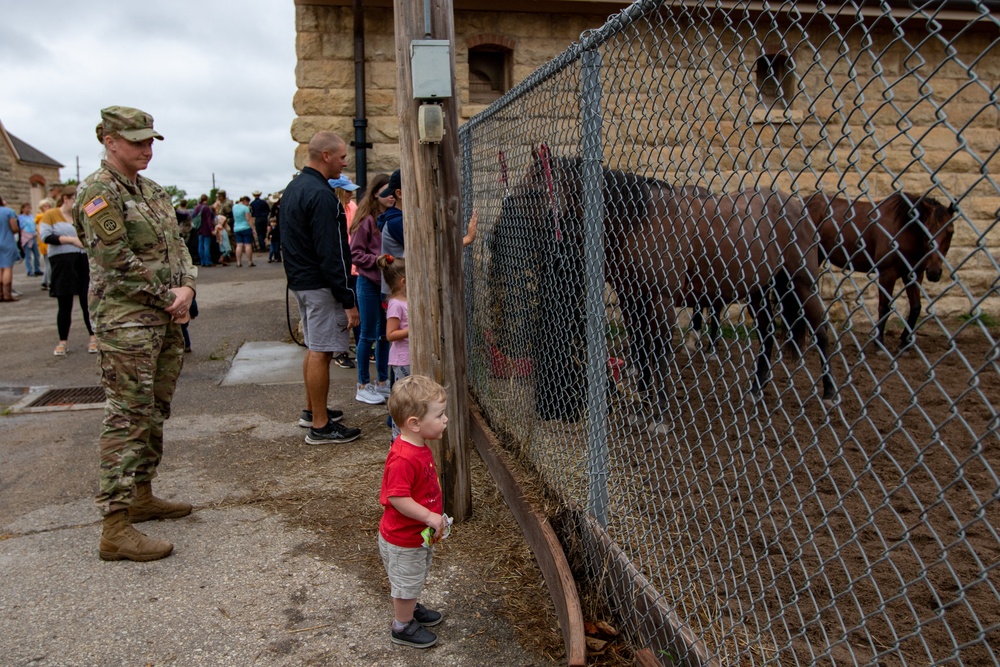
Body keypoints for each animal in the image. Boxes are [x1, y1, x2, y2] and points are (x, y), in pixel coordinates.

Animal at [498, 154, 836, 404]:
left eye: (535, 190)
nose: (504, 227)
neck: (640, 221)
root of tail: (795, 204)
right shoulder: (631, 296)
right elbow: (640, 342)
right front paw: (643, 393)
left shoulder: (660, 299)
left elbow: (659, 347)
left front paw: (657, 410)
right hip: (759, 289)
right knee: (766, 333)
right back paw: (756, 388)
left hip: (802, 283)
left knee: (820, 328)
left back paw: (830, 392)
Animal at [800, 190, 956, 352]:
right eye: (926, 231)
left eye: (950, 232)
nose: (934, 272)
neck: (903, 229)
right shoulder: (887, 274)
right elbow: (884, 307)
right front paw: (879, 342)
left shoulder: (914, 275)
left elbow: (915, 307)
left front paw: (904, 343)